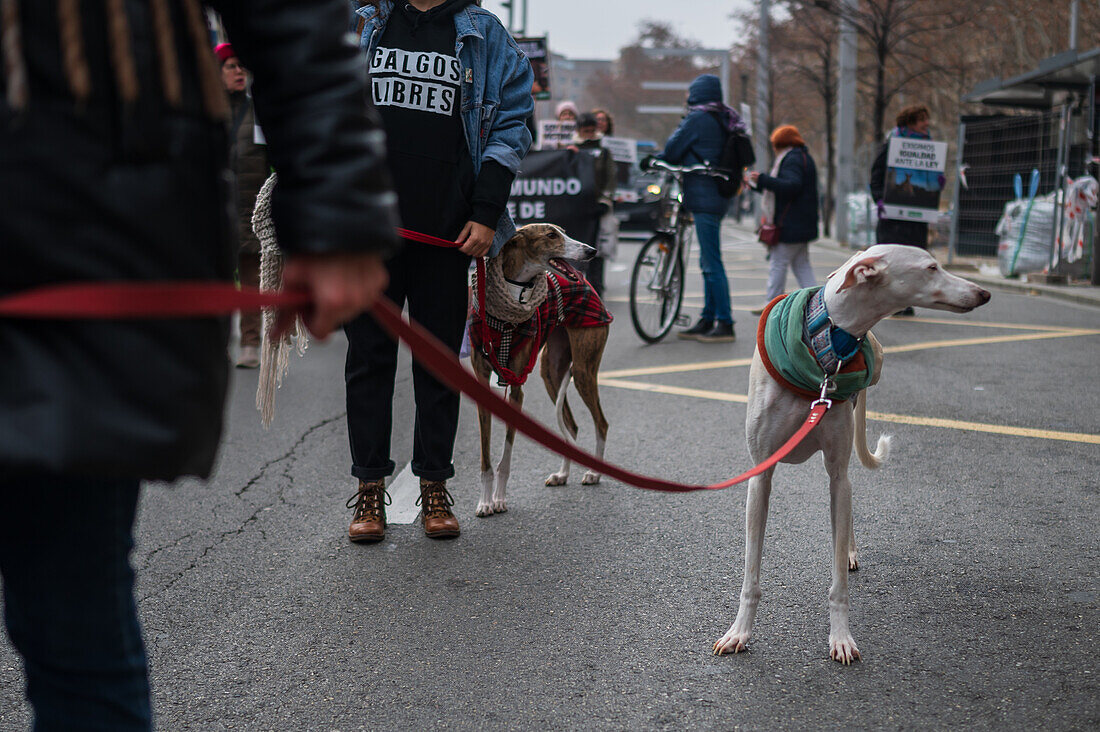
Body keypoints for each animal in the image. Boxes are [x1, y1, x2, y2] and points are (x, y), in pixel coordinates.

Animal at [470, 225, 616, 517]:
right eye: (551, 235)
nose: (591, 251)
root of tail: (586, 284)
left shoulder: (516, 387)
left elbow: (506, 456)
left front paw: (499, 499)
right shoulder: (483, 382)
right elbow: (486, 459)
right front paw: (485, 502)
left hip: (583, 369)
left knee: (601, 423)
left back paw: (594, 472)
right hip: (551, 372)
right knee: (572, 426)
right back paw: (563, 474)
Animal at [712, 245, 990, 660]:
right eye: (931, 267)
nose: (984, 294)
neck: (823, 348)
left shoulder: (837, 470)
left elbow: (838, 581)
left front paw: (841, 636)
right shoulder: (760, 475)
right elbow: (751, 574)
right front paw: (739, 632)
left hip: (842, 465)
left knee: (845, 501)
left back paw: (848, 551)